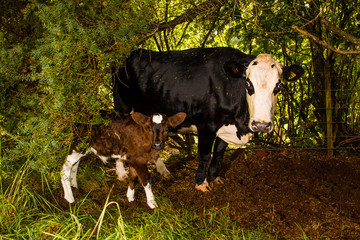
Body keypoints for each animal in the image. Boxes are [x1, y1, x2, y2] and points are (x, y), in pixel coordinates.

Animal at [112, 47, 304, 191]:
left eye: (278, 85)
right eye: (248, 84)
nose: (261, 125)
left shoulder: (226, 127)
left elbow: (218, 153)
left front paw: (214, 178)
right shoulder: (206, 125)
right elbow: (205, 154)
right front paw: (201, 183)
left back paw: (163, 171)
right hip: (122, 108)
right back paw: (122, 173)